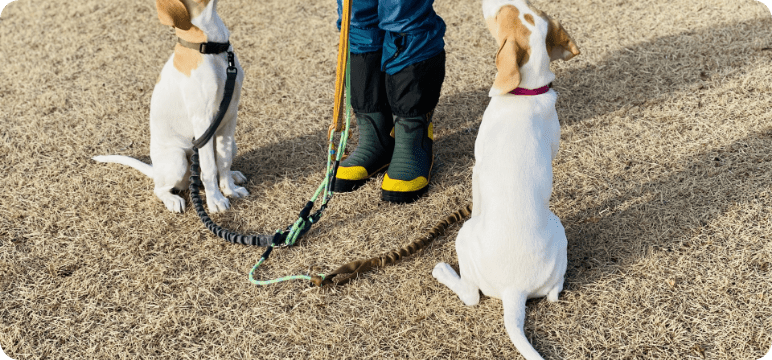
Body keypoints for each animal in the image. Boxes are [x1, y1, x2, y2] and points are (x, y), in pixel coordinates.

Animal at [432, 0, 576, 360]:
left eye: (499, 15)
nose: (484, 2)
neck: (526, 92)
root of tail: (515, 291)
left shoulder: (477, 168)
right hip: (559, 233)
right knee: (555, 293)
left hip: (463, 236)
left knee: (470, 295)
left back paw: (444, 272)